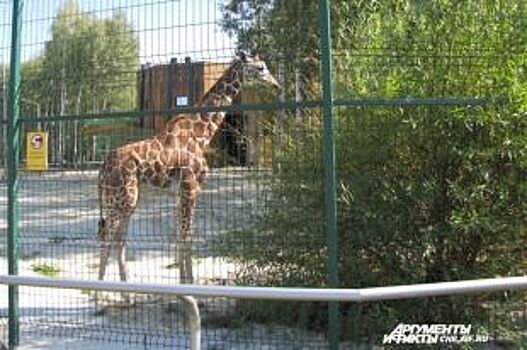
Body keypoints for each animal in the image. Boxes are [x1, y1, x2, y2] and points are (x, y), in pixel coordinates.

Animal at [96, 50, 278, 290]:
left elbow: (179, 235)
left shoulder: (180, 191)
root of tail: (102, 169)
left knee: (118, 237)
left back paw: (125, 290)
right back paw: (99, 292)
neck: (202, 133)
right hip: (121, 198)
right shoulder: (191, 187)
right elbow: (187, 236)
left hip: (126, 200)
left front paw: (183, 285)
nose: (276, 85)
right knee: (107, 234)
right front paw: (189, 285)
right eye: (260, 68)